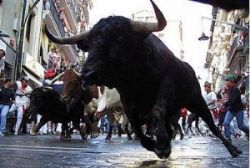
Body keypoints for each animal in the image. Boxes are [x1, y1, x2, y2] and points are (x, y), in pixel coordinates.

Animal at [45, 0, 242, 159]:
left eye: (119, 39)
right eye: (90, 44)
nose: (87, 74)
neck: (136, 78)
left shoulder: (166, 86)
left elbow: (156, 111)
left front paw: (161, 146)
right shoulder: (126, 101)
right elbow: (135, 126)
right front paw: (155, 145)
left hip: (197, 101)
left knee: (212, 125)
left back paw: (233, 149)